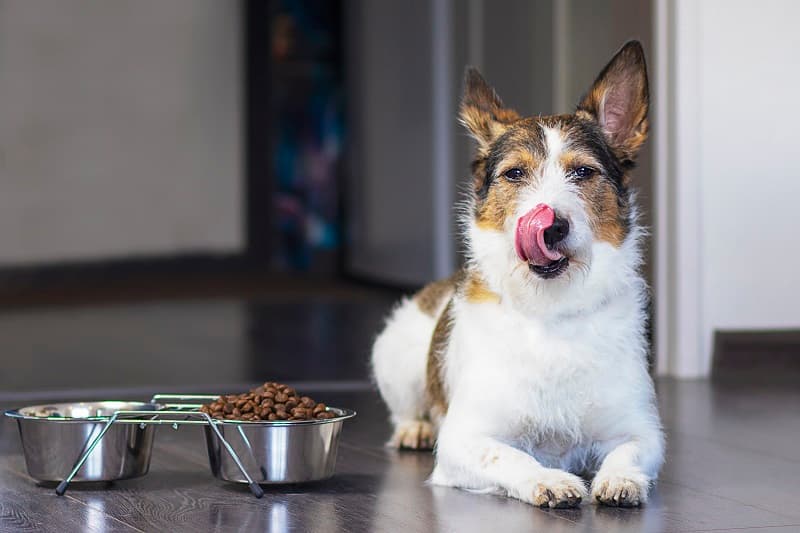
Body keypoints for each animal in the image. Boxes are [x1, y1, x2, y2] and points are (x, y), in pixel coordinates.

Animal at [372, 41, 664, 508]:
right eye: (514, 173)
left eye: (583, 171)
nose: (551, 226)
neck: (551, 311)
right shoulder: (462, 440)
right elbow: (510, 456)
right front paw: (550, 480)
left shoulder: (641, 430)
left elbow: (629, 451)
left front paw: (620, 479)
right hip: (395, 357)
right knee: (404, 410)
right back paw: (414, 428)